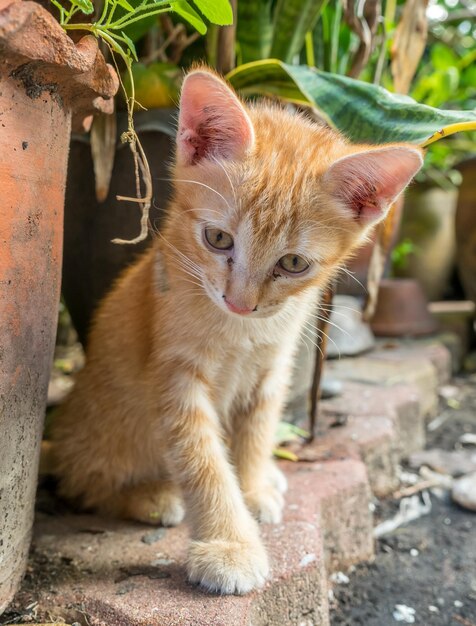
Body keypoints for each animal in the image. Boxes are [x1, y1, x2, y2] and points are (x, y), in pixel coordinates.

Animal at [53, 68, 424, 596]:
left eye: (293, 264)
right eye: (218, 239)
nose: (240, 302)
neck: (241, 333)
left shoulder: (272, 367)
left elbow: (257, 429)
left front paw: (252, 487)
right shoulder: (175, 377)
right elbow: (203, 460)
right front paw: (231, 546)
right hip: (105, 428)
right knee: (82, 480)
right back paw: (151, 495)